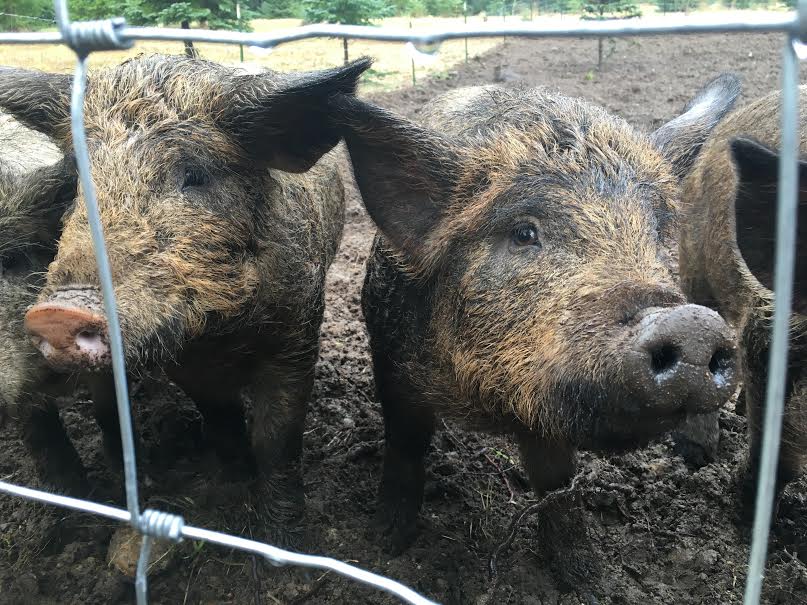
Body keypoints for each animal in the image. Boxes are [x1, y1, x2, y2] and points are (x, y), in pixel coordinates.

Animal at [0, 54, 371, 544]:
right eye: (79, 182)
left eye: (195, 176)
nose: (57, 312)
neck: (222, 334)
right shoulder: (182, 363)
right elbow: (219, 415)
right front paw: (231, 482)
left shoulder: (297, 333)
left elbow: (277, 437)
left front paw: (282, 540)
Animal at [331, 75, 741, 581]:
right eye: (524, 232)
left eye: (657, 231)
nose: (693, 324)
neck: (484, 406)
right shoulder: (391, 357)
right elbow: (406, 443)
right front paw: (387, 542)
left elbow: (556, 478)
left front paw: (583, 575)